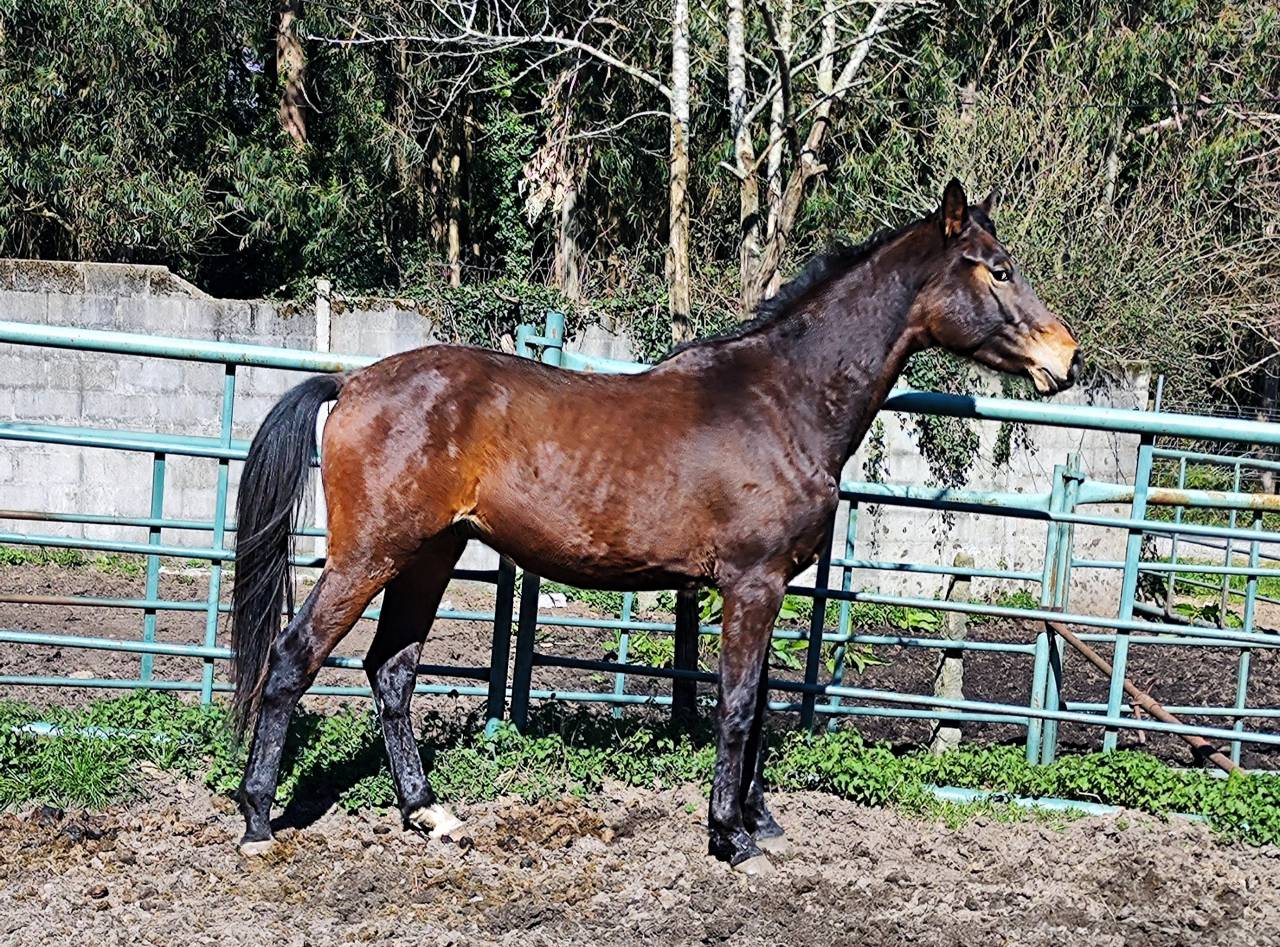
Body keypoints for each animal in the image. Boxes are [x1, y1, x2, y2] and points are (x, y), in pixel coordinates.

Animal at [229, 180, 1080, 876]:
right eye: (994, 267)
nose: (1065, 357)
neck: (782, 402)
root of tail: (353, 382)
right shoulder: (751, 584)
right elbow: (737, 704)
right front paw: (730, 838)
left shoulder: (767, 588)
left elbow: (758, 704)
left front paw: (758, 821)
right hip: (369, 555)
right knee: (294, 655)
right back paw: (258, 820)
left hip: (430, 555)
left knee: (393, 670)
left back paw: (427, 811)